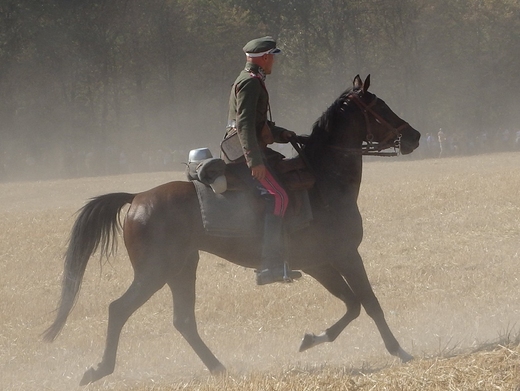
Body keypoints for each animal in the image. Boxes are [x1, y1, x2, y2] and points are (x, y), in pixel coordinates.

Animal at [43, 74, 418, 386]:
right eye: (380, 106)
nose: (413, 135)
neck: (324, 179)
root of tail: (137, 198)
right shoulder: (343, 255)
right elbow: (369, 302)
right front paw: (400, 351)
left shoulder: (321, 263)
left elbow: (353, 304)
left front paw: (311, 340)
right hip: (155, 271)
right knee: (119, 309)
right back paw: (99, 369)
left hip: (182, 267)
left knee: (183, 320)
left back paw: (218, 368)